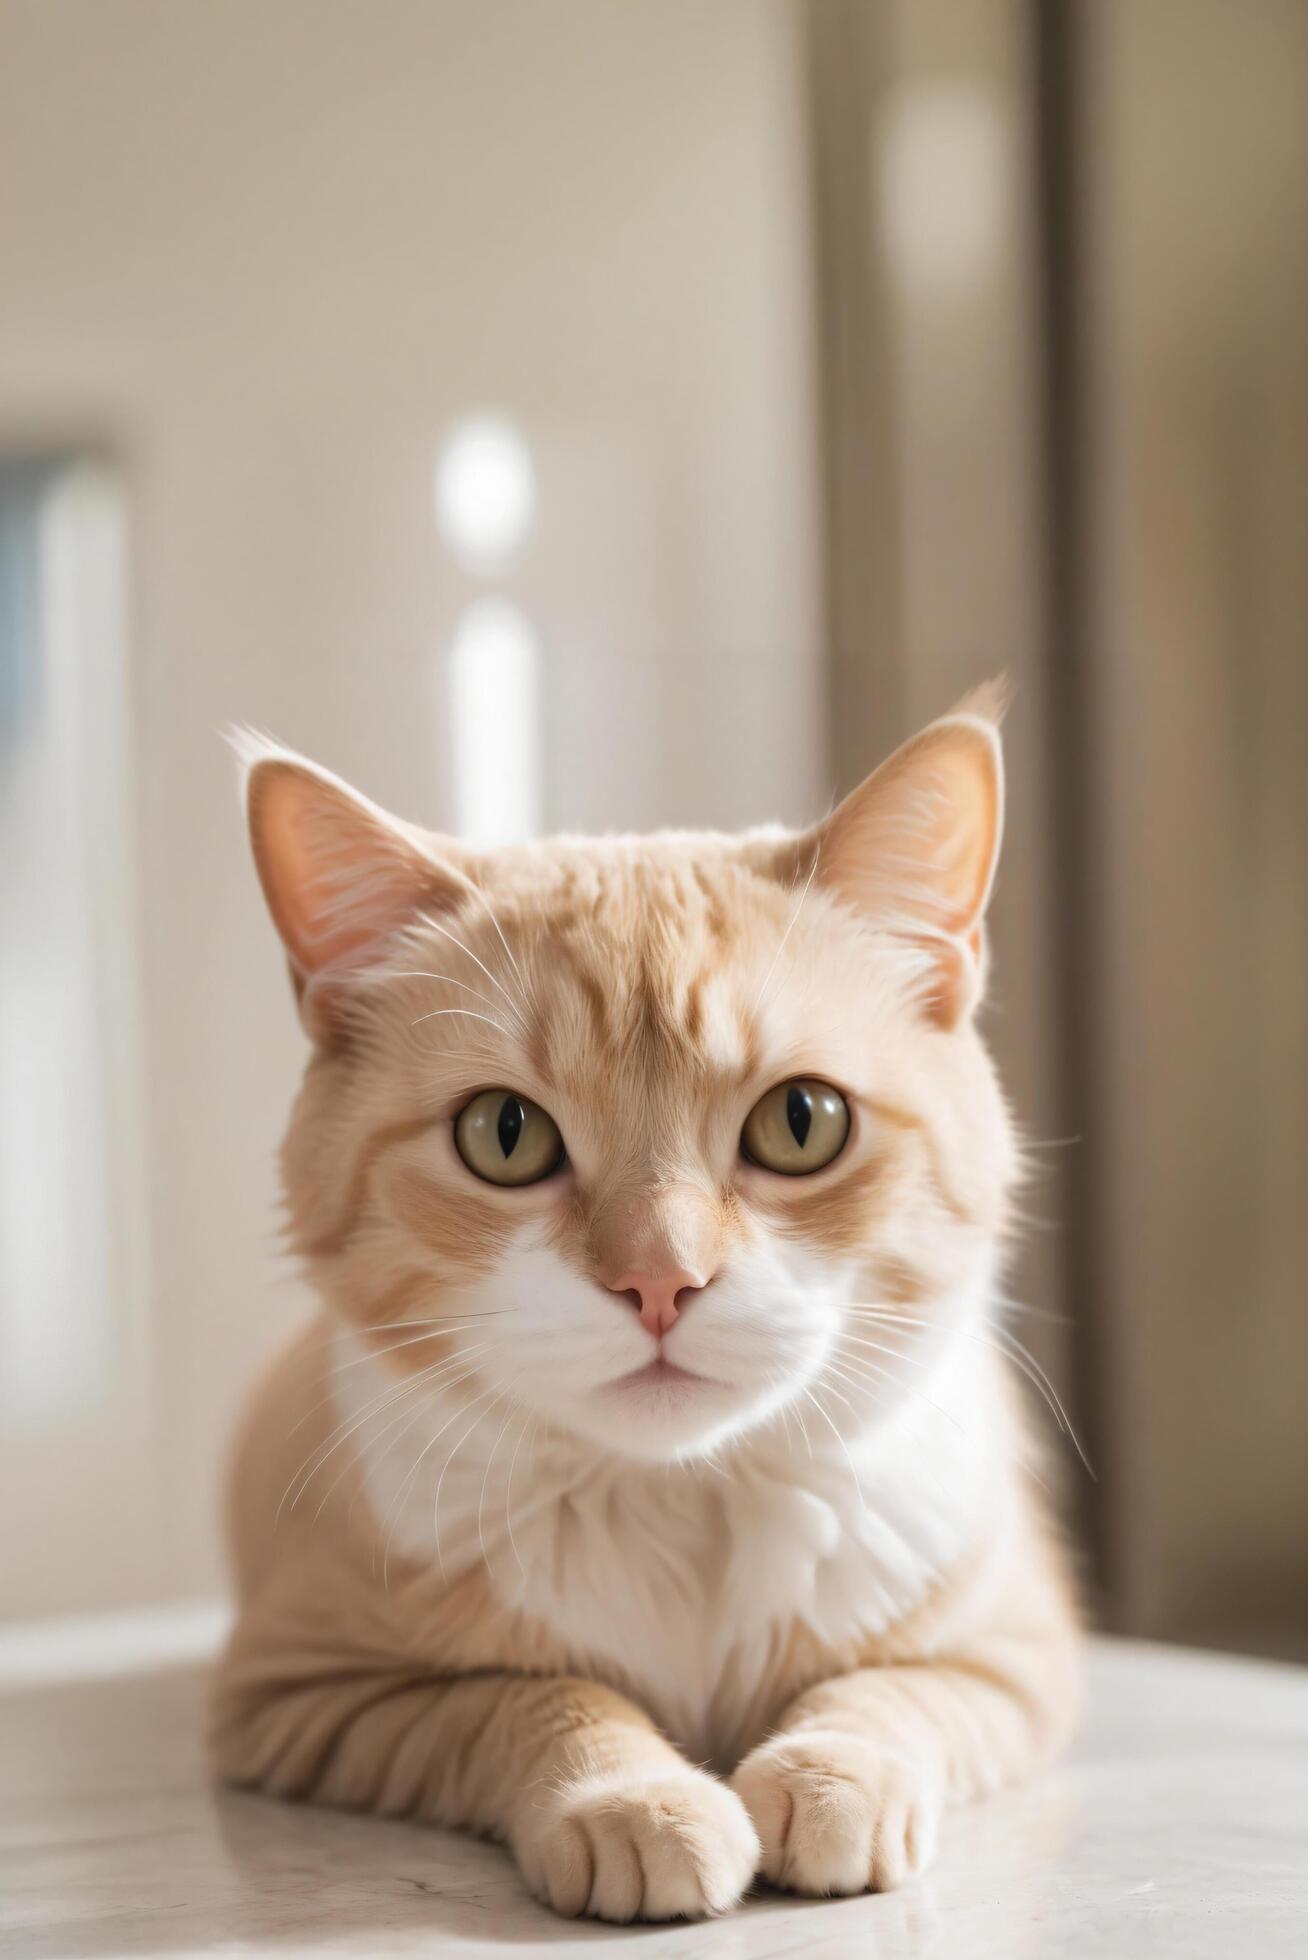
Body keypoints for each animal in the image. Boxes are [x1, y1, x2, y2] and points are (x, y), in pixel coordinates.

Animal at [209, 693, 1082, 1928]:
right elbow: (530, 1699)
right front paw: (636, 1802)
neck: (683, 1507)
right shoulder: (305, 1693)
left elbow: (885, 1691)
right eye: (504, 1135)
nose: (659, 1278)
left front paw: (832, 1780)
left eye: (802, 1121)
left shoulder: (1014, 1652)